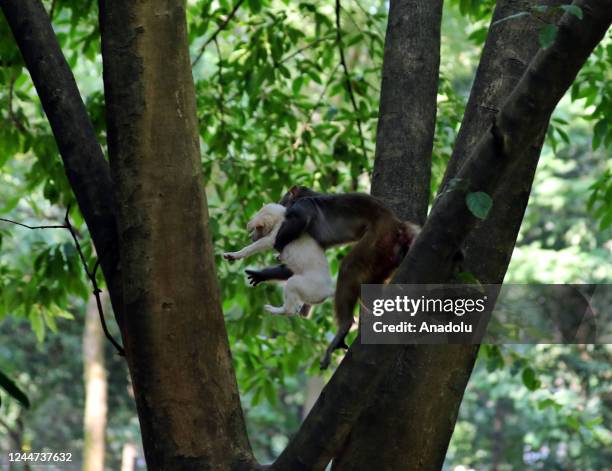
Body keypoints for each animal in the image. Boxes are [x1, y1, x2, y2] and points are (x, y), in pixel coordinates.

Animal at [246, 186, 418, 370]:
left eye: (283, 201)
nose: (280, 205)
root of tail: (397, 224)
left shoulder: (303, 206)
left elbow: (299, 222)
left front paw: (277, 244)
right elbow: (297, 269)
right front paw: (262, 274)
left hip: (379, 238)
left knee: (349, 268)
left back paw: (344, 326)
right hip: (385, 256)